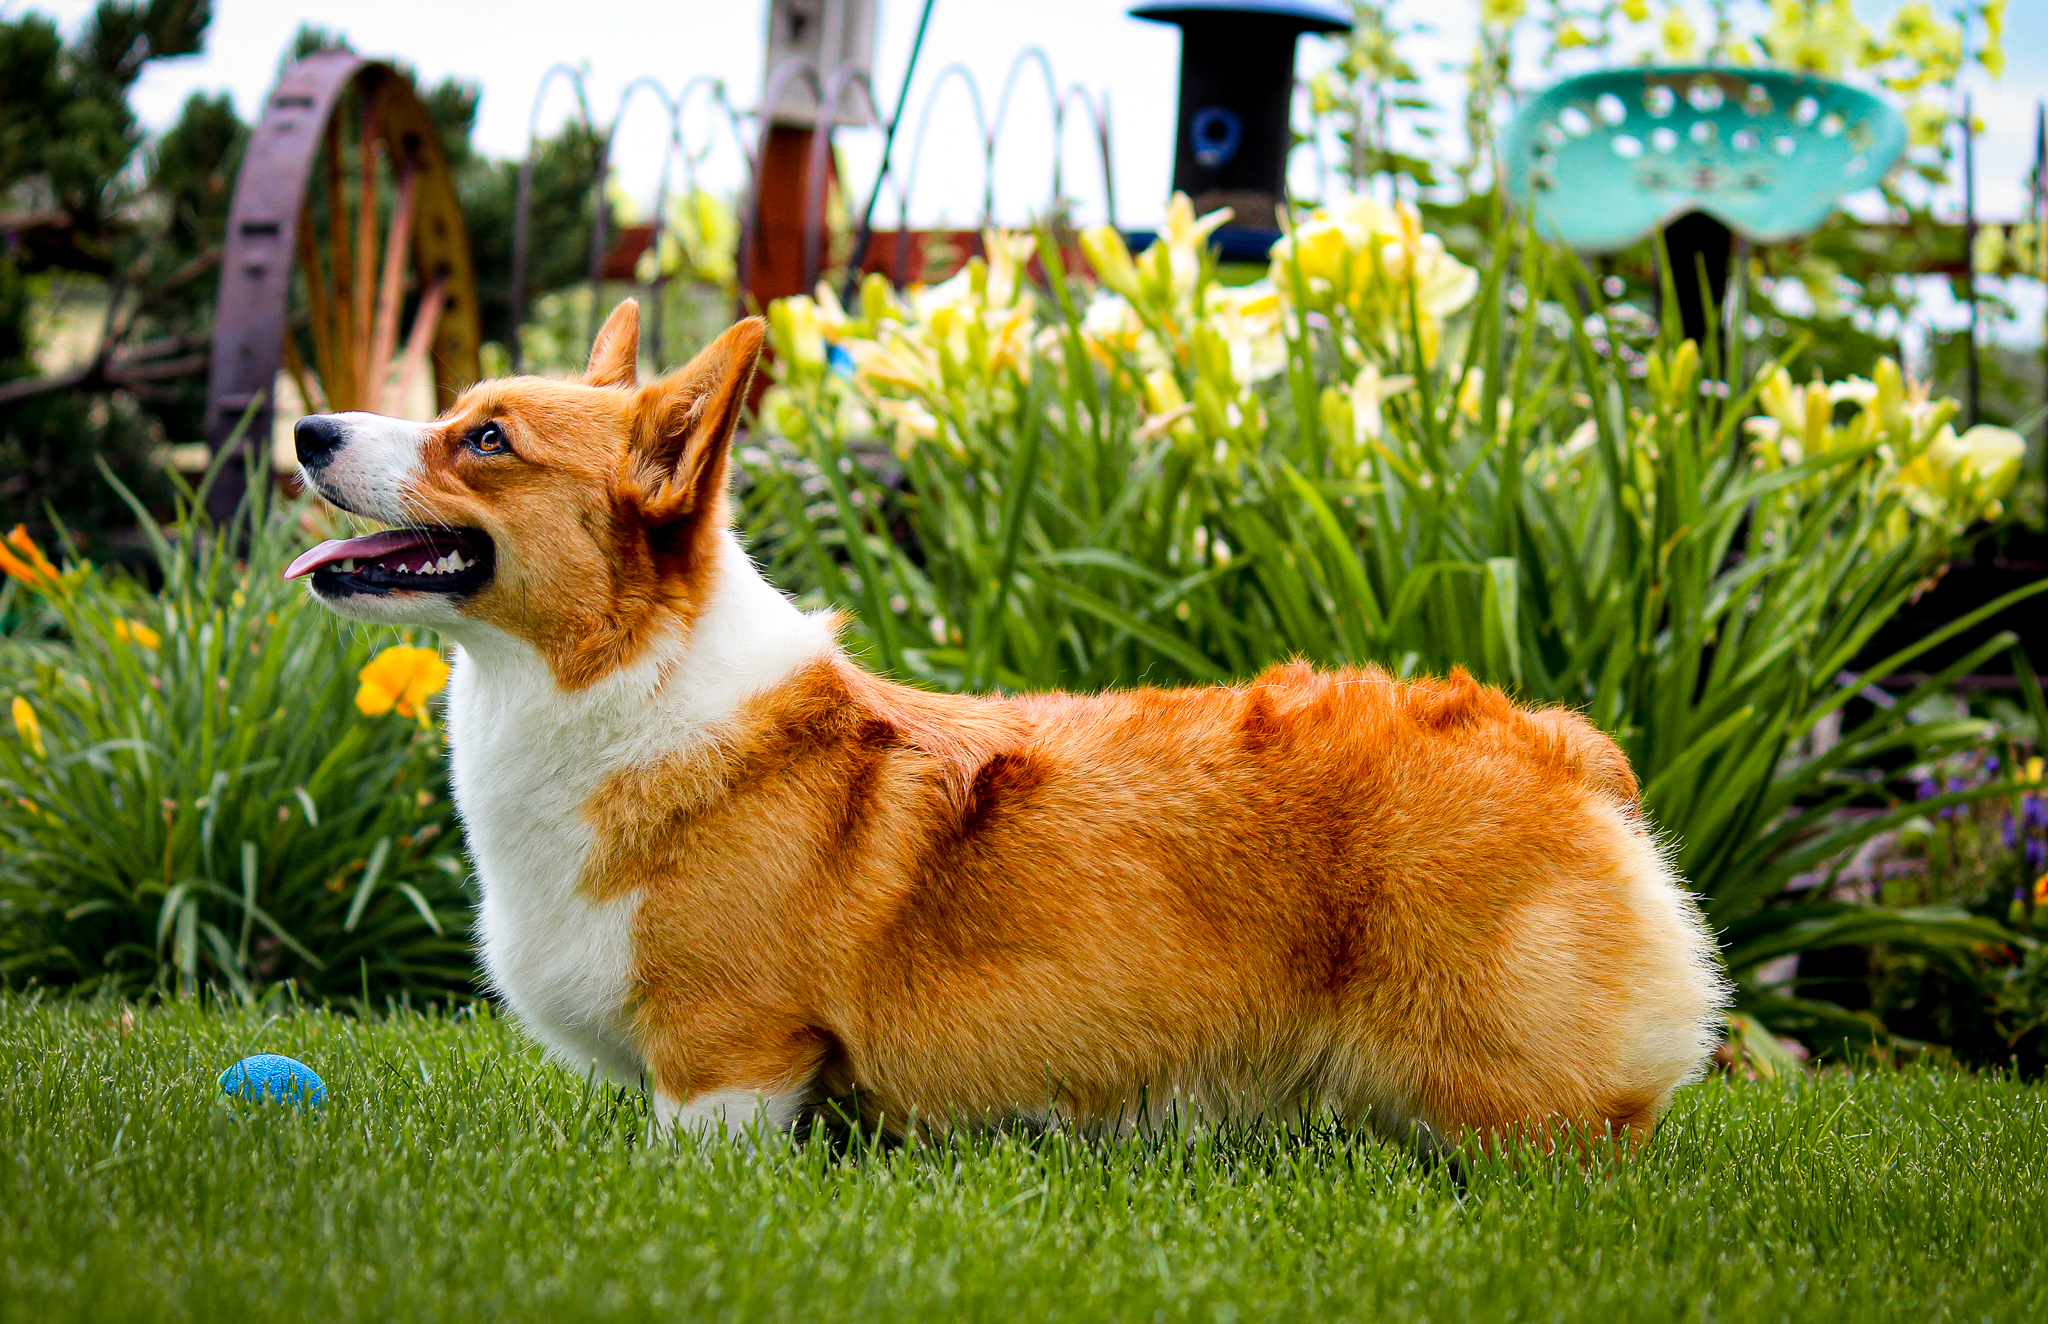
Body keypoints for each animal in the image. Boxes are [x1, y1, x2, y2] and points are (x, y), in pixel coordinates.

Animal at [288, 301, 1728, 1147]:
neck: (613, 688)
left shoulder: (729, 1053)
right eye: (454, 411)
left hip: (1500, 1080)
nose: (304, 428)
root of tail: (1564, 745)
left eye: (485, 439)